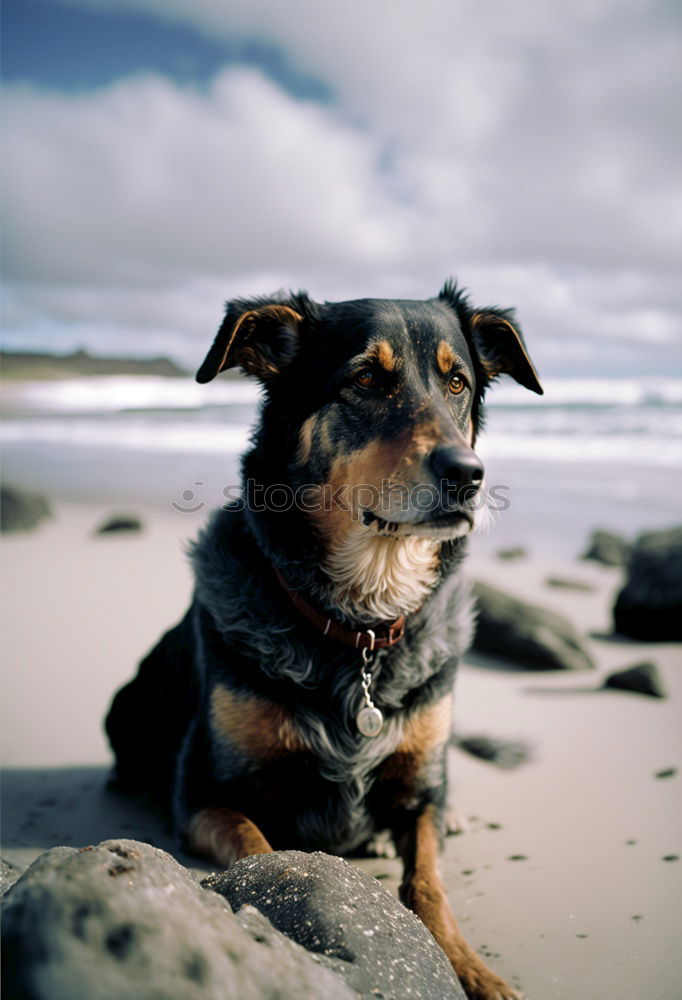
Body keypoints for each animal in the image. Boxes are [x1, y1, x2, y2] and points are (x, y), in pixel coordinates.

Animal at [106, 282, 540, 1000]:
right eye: (365, 380)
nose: (468, 474)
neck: (359, 620)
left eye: (458, 383)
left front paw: (470, 966)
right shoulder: (205, 795)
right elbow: (269, 855)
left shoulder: (419, 794)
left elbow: (429, 879)